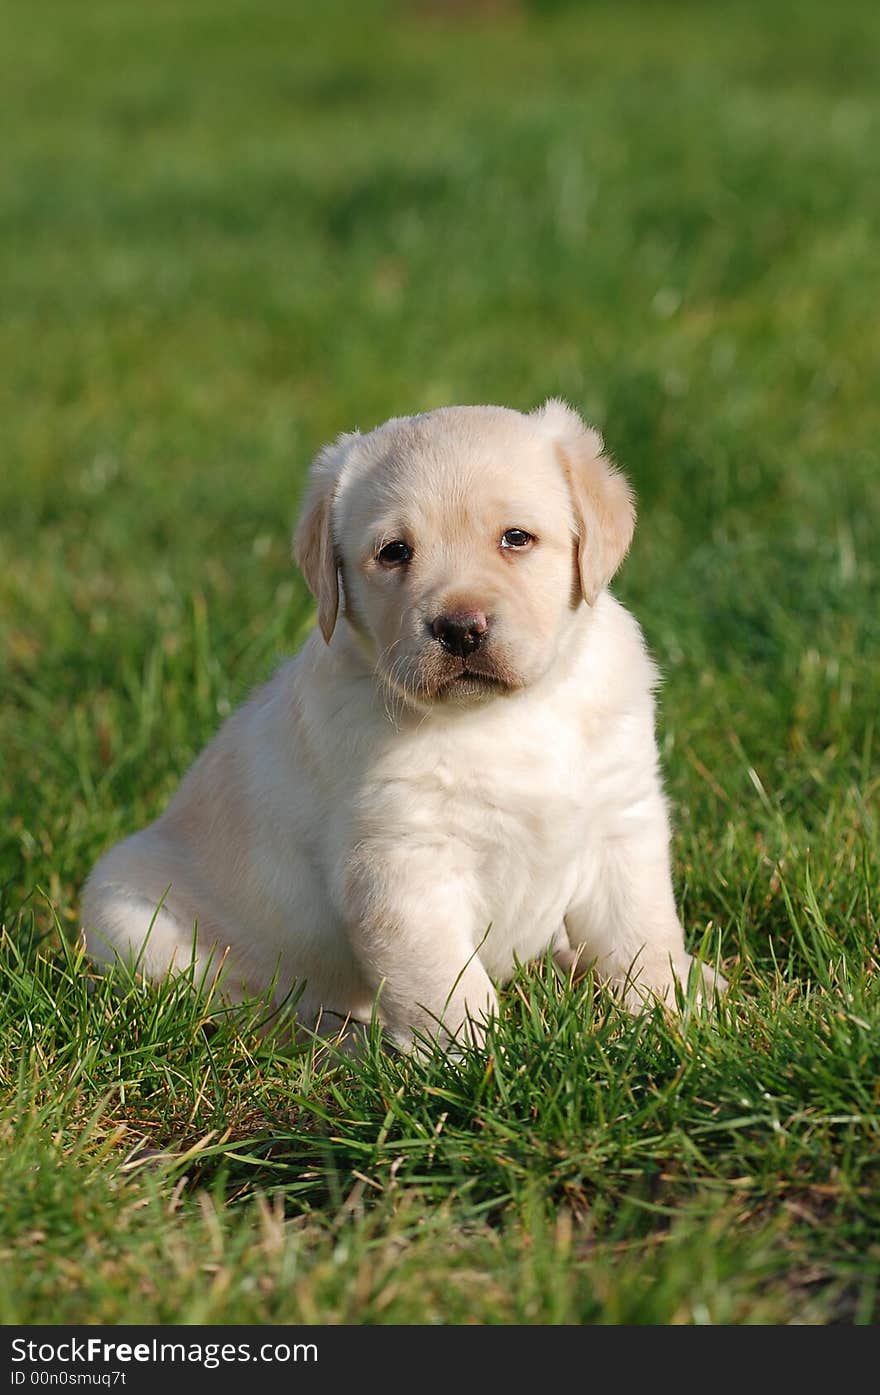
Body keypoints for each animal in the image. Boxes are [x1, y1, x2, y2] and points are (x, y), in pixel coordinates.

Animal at [82, 398, 725, 1049]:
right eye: (394, 551)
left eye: (516, 538)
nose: (460, 629)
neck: (504, 716)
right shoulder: (401, 866)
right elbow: (447, 986)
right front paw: (476, 1060)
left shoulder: (621, 822)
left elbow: (640, 934)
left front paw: (667, 1014)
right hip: (128, 919)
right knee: (251, 1011)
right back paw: (338, 1044)